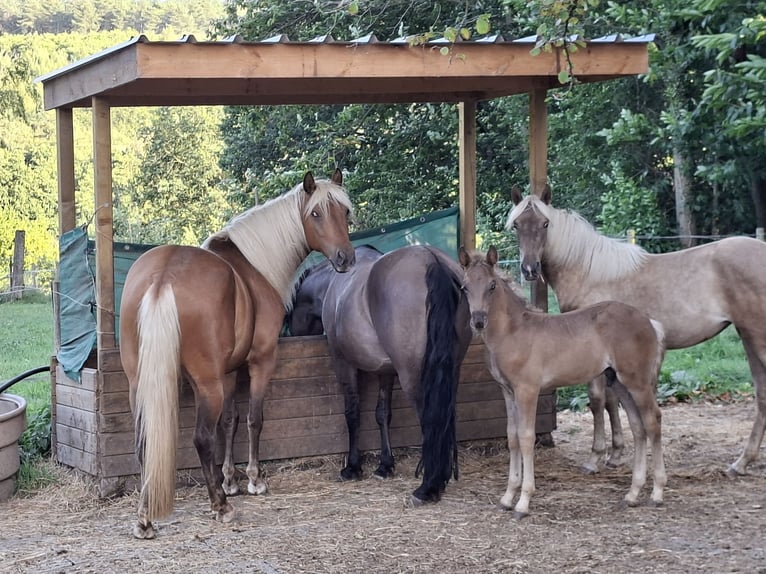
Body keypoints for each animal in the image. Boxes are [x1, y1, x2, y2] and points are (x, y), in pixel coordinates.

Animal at [119, 170, 355, 539]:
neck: (254, 266)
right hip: (206, 384)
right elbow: (253, 419)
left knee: (145, 443)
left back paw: (145, 519)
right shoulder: (261, 361)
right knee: (202, 439)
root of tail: (163, 278)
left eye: (344, 212)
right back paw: (220, 507)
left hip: (140, 383)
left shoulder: (229, 372)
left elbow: (228, 422)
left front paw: (230, 480)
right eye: (316, 213)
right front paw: (253, 481)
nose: (345, 258)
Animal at [288, 244, 473, 504]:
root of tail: (432, 260)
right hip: (451, 372)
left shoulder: (343, 363)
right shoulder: (385, 371)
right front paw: (385, 465)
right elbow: (383, 414)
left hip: (414, 378)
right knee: (445, 417)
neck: (332, 285)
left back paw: (428, 487)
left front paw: (352, 467)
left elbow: (352, 413)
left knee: (430, 420)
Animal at [458, 245, 667, 518]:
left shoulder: (527, 390)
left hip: (638, 381)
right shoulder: (507, 391)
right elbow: (512, 437)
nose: (479, 321)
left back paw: (657, 493)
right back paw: (632, 494)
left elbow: (526, 438)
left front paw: (523, 502)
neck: (512, 332)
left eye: (492, 285)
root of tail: (650, 322)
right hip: (619, 382)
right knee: (638, 426)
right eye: (464, 287)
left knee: (653, 421)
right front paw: (507, 497)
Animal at [508, 186, 766, 476]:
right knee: (762, 395)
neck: (589, 272)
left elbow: (597, 400)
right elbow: (611, 402)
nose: (529, 269)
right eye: (517, 224)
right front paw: (616, 453)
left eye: (545, 223)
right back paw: (741, 462)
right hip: (748, 336)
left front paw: (595, 457)